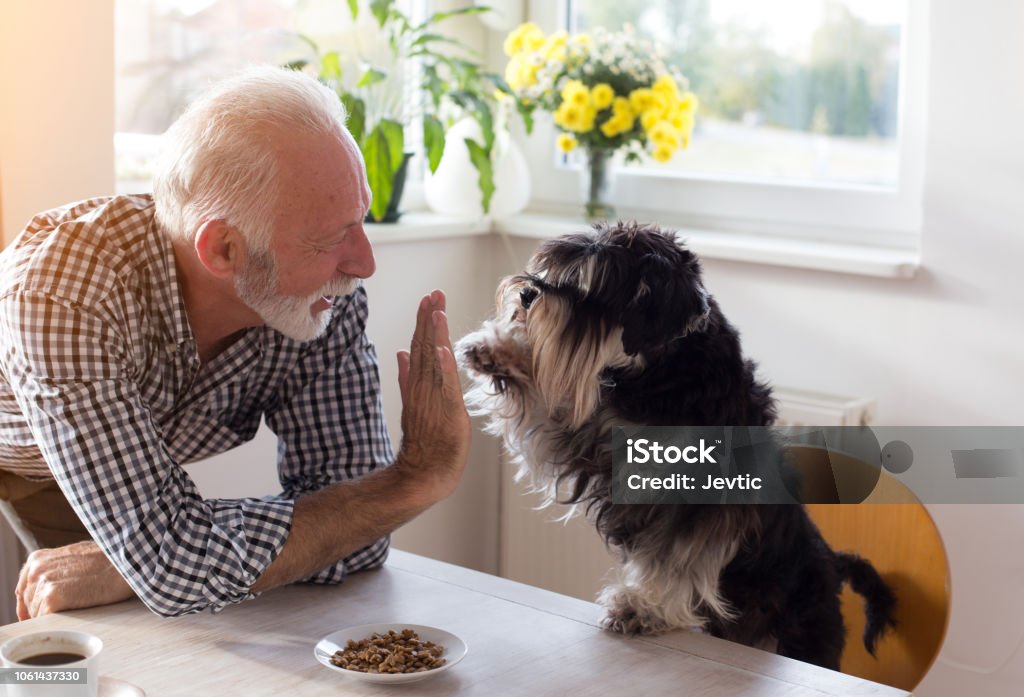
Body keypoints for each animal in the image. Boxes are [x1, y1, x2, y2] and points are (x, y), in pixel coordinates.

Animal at [456, 223, 897, 667]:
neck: (665, 372)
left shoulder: (697, 501)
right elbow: (548, 406)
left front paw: (641, 608)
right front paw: (497, 350)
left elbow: (676, 558)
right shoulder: (590, 439)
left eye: (594, 288)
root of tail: (832, 564)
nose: (528, 294)